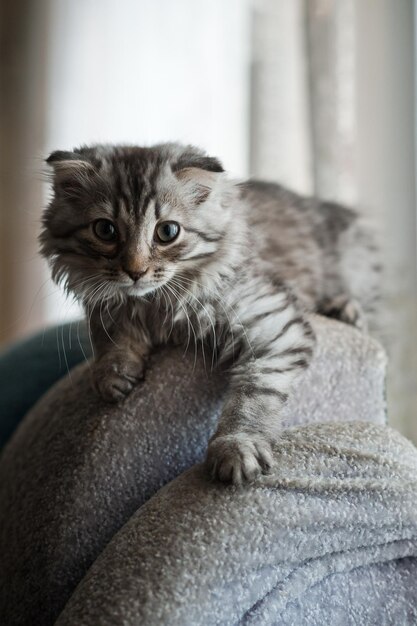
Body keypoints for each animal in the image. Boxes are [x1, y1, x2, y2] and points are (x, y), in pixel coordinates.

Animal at [39, 141, 380, 482]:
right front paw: (113, 372)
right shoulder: (107, 306)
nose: (135, 271)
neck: (156, 303)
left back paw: (344, 310)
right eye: (105, 230)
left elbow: (253, 394)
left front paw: (237, 448)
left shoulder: (273, 323)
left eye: (167, 232)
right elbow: (108, 333)